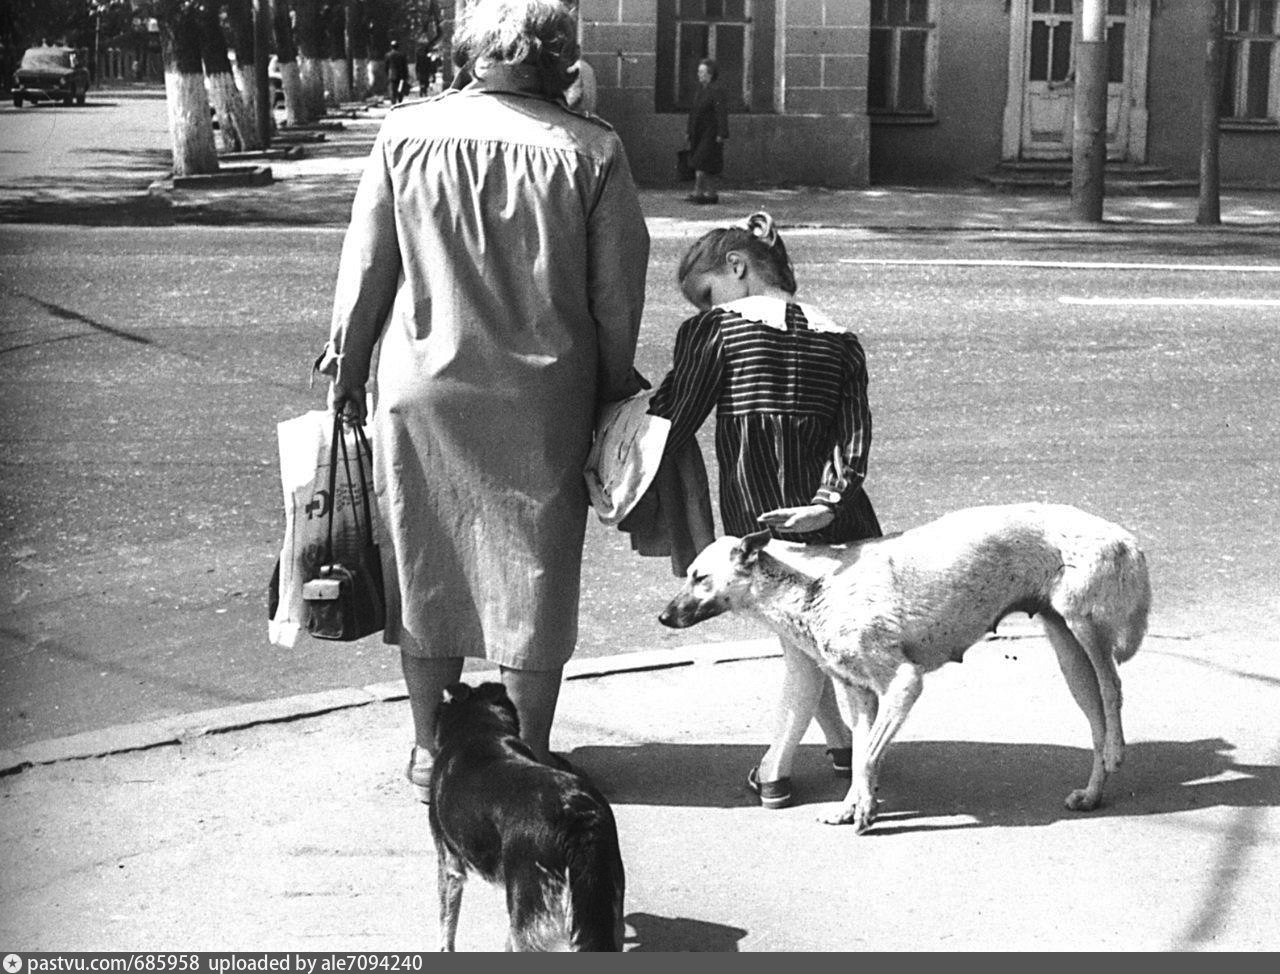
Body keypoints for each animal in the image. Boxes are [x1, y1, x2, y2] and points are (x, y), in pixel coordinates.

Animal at [430, 680, 624, 947]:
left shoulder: (449, 864)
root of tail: (575, 814)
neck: (478, 730)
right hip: (604, 907)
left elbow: (446, 925)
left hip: (532, 918)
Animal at [660, 501, 1152, 829]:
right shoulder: (860, 695)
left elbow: (866, 759)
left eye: (699, 577)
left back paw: (1116, 749)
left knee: (1114, 690)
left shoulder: (902, 684)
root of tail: (1126, 536)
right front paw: (855, 805)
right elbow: (861, 755)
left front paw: (863, 809)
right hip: (1070, 659)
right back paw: (1092, 792)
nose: (663, 618)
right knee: (1097, 716)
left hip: (1085, 628)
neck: (814, 583)